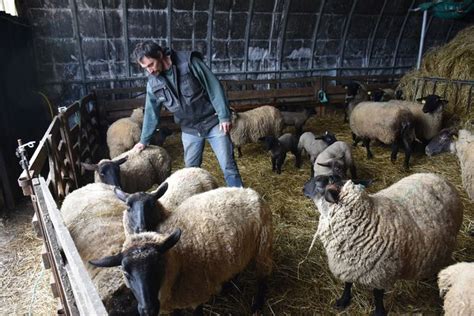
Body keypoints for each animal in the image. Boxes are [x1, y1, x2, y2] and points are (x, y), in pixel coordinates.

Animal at [90, 186, 274, 314]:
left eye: (159, 266)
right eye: (126, 273)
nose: (147, 310)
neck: (177, 258)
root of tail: (249, 191)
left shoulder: (196, 294)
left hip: (263, 246)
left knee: (262, 276)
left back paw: (257, 305)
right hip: (238, 249)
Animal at [304, 173, 462, 316]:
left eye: (319, 181)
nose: (304, 187)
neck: (367, 219)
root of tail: (440, 178)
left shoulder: (381, 272)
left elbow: (378, 296)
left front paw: (379, 312)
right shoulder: (348, 263)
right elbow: (348, 284)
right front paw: (343, 300)